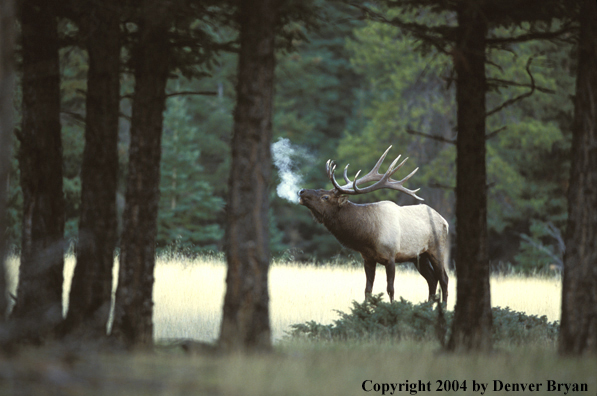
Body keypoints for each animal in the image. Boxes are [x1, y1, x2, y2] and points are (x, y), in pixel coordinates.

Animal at [298, 145, 448, 304]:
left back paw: (443, 306)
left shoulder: (391, 256)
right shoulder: (368, 259)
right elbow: (368, 290)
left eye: (325, 197)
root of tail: (445, 221)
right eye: (321, 189)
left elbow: (390, 289)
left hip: (437, 249)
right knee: (432, 280)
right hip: (419, 256)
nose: (301, 191)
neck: (368, 237)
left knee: (443, 279)